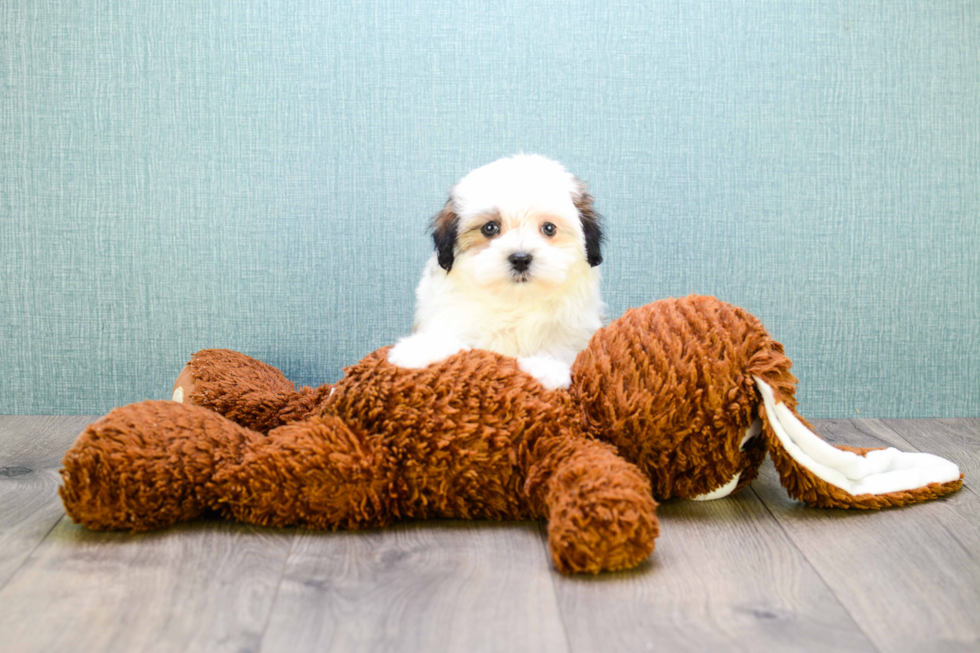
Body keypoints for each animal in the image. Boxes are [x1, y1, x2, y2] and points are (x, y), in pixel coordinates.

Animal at [388, 154, 604, 388]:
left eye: (549, 228)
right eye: (489, 228)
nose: (521, 259)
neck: (515, 303)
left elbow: (560, 349)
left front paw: (547, 368)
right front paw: (417, 350)